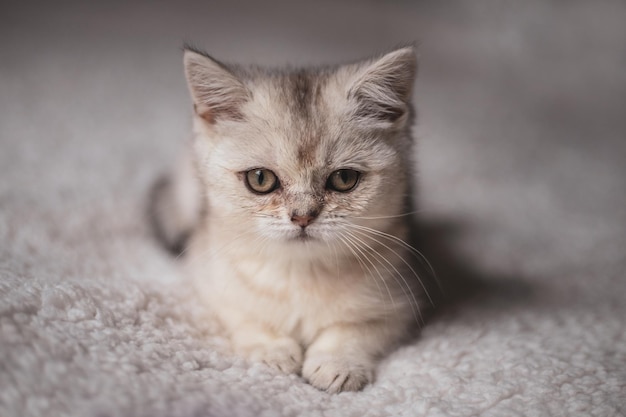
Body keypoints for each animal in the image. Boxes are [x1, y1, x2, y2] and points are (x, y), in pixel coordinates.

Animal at [151, 46, 434, 394]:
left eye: (344, 179)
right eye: (260, 179)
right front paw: (271, 350)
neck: (301, 275)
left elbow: (356, 330)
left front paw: (337, 363)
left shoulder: (400, 300)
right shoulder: (210, 280)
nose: (303, 216)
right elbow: (245, 316)